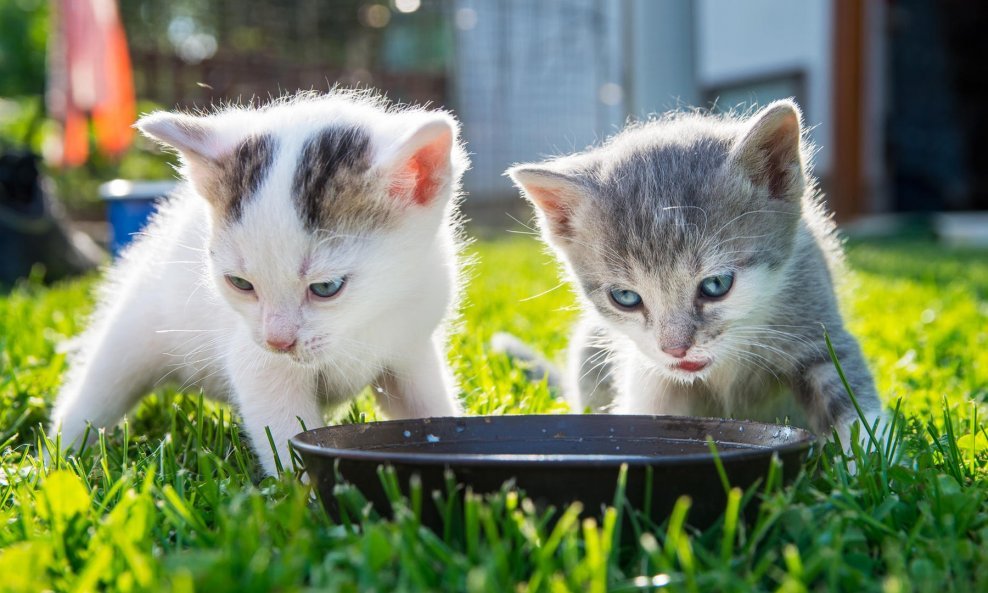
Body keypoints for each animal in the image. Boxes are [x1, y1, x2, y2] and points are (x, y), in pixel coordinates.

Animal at [52, 90, 468, 474]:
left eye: (326, 288)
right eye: (240, 283)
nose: (277, 342)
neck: (365, 319)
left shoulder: (411, 344)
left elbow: (429, 405)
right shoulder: (258, 364)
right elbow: (283, 431)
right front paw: (301, 495)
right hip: (135, 328)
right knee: (97, 389)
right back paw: (55, 457)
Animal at [510, 102, 880, 444]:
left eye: (716, 285)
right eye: (625, 297)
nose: (676, 350)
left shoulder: (817, 323)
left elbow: (853, 406)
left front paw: (872, 461)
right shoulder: (652, 376)